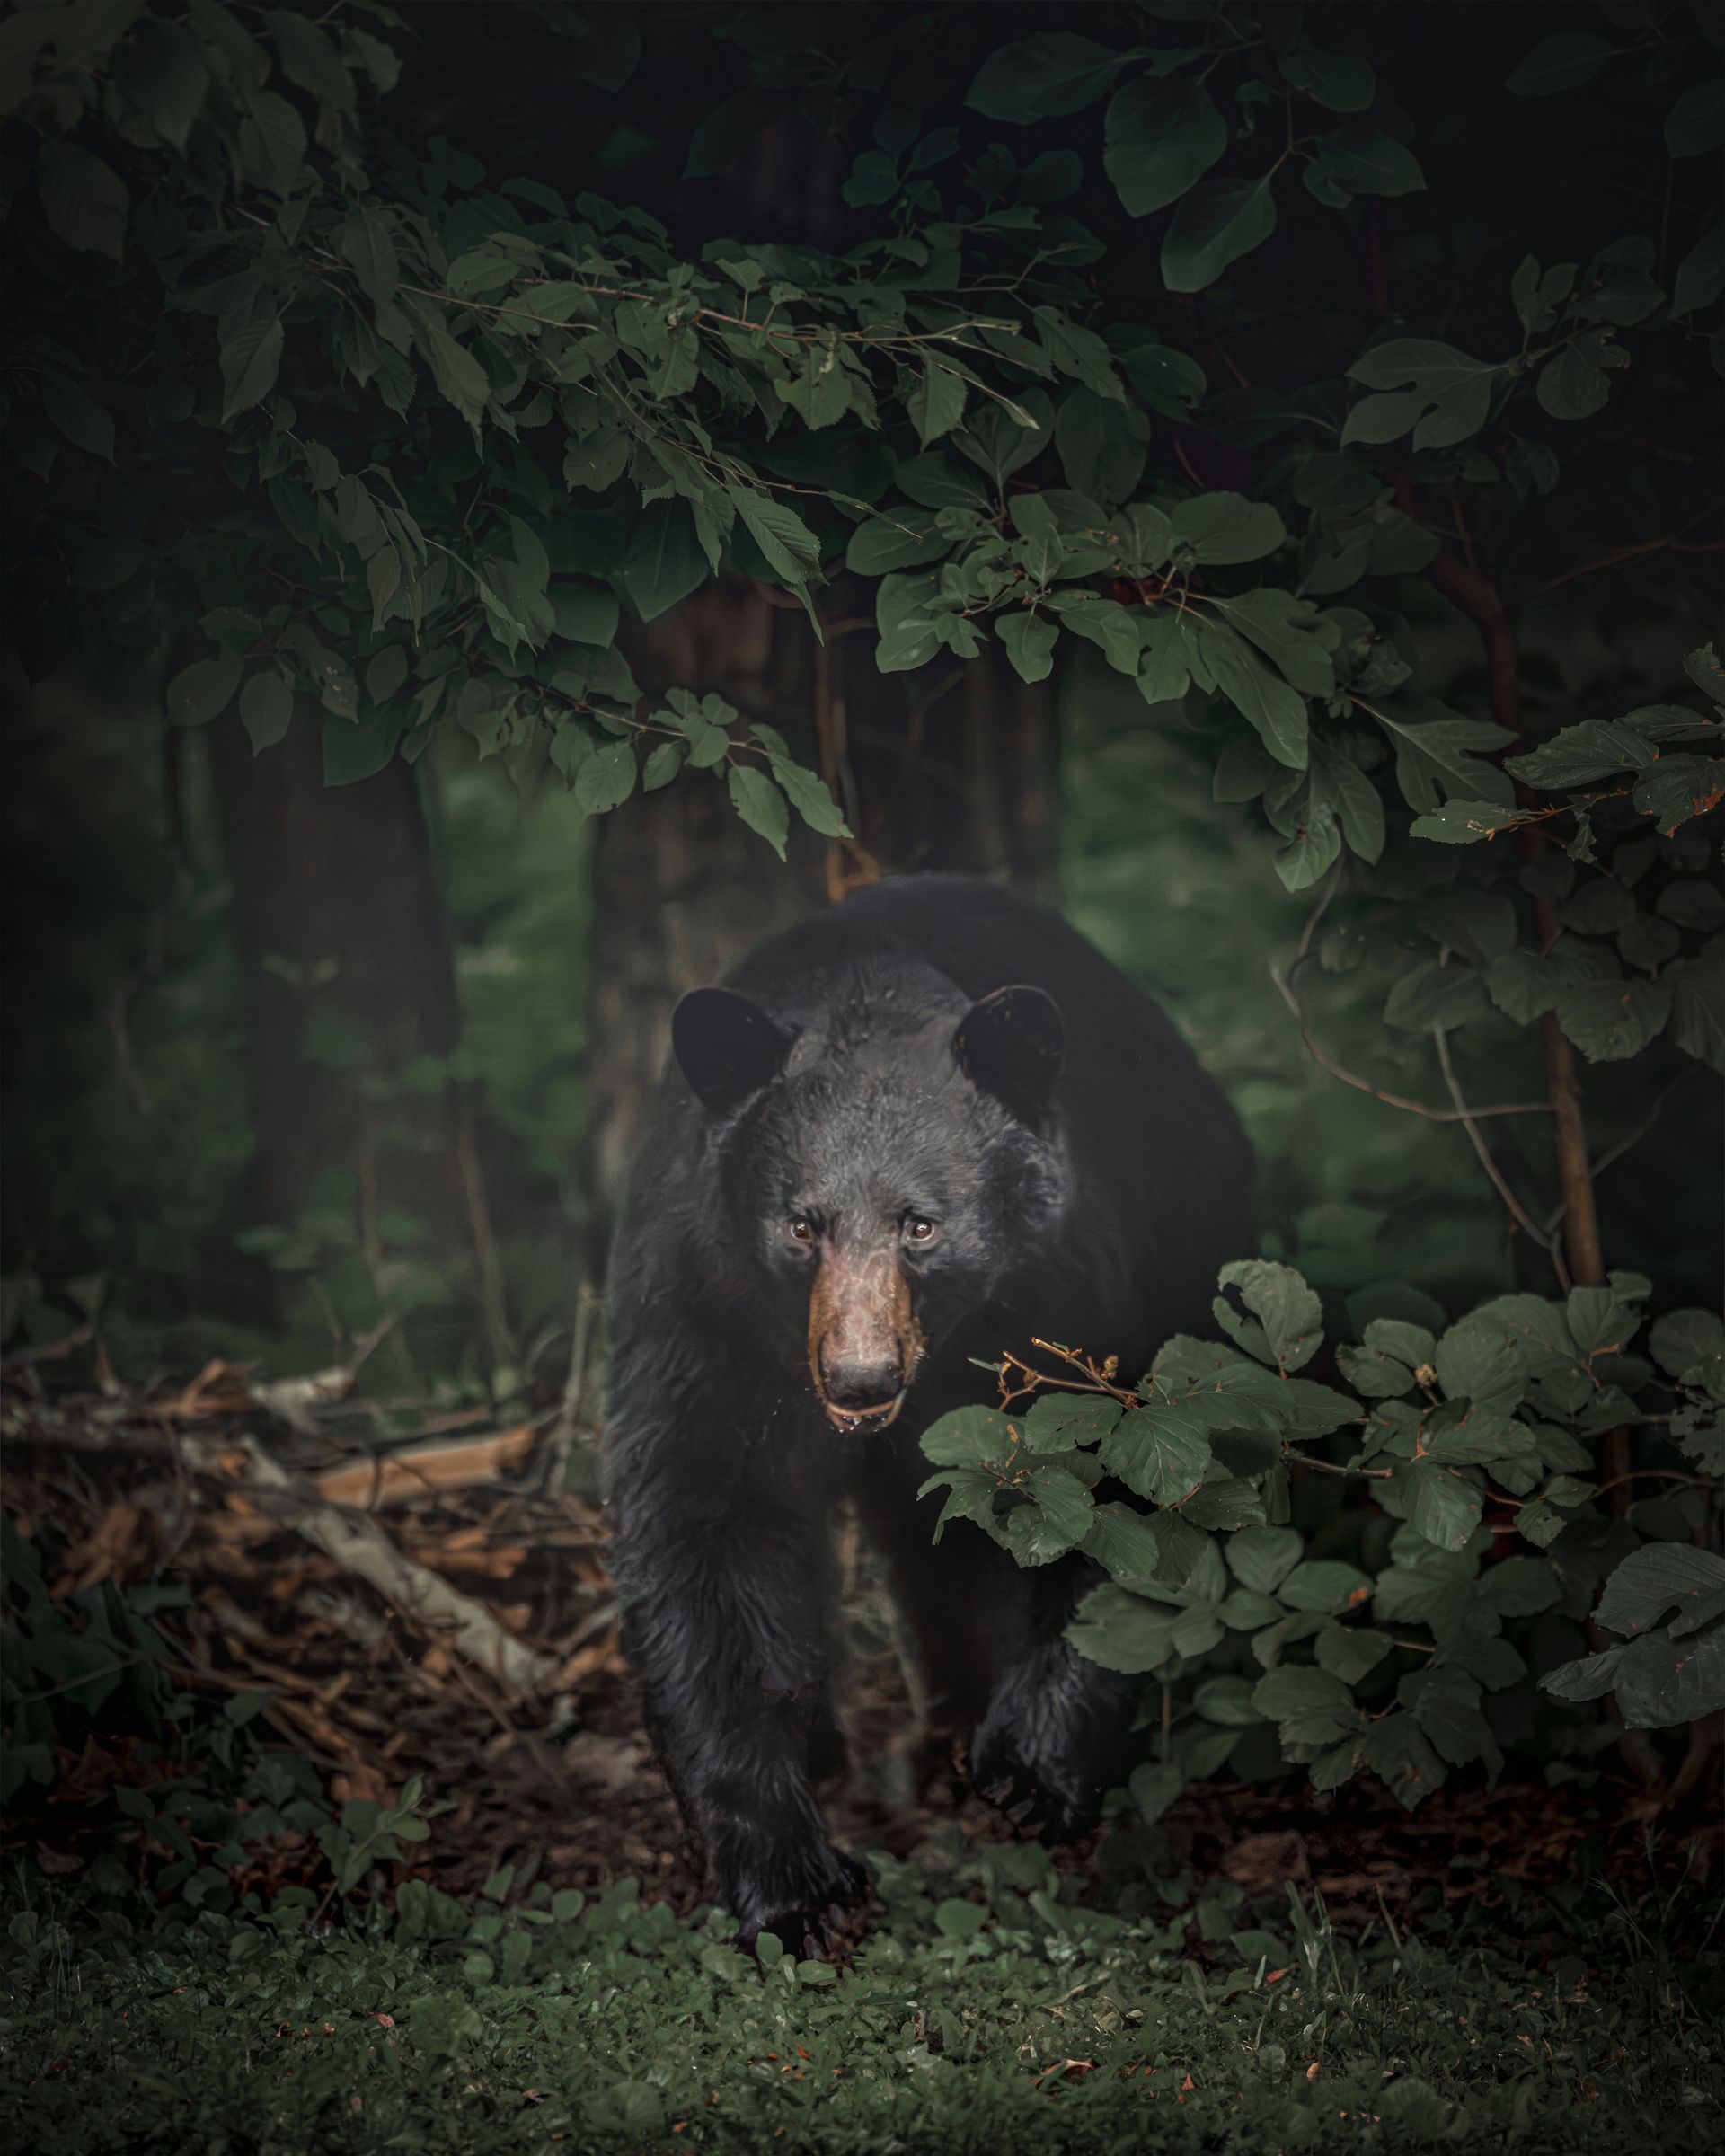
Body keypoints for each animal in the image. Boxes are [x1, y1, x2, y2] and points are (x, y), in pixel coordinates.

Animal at [604, 873, 1255, 1954]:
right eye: (800, 1225)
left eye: (922, 1225)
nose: (859, 1379)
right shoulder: (704, 1305)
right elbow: (709, 1527)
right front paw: (793, 1884)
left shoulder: (1063, 1291)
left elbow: (1111, 1482)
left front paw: (1031, 1766)